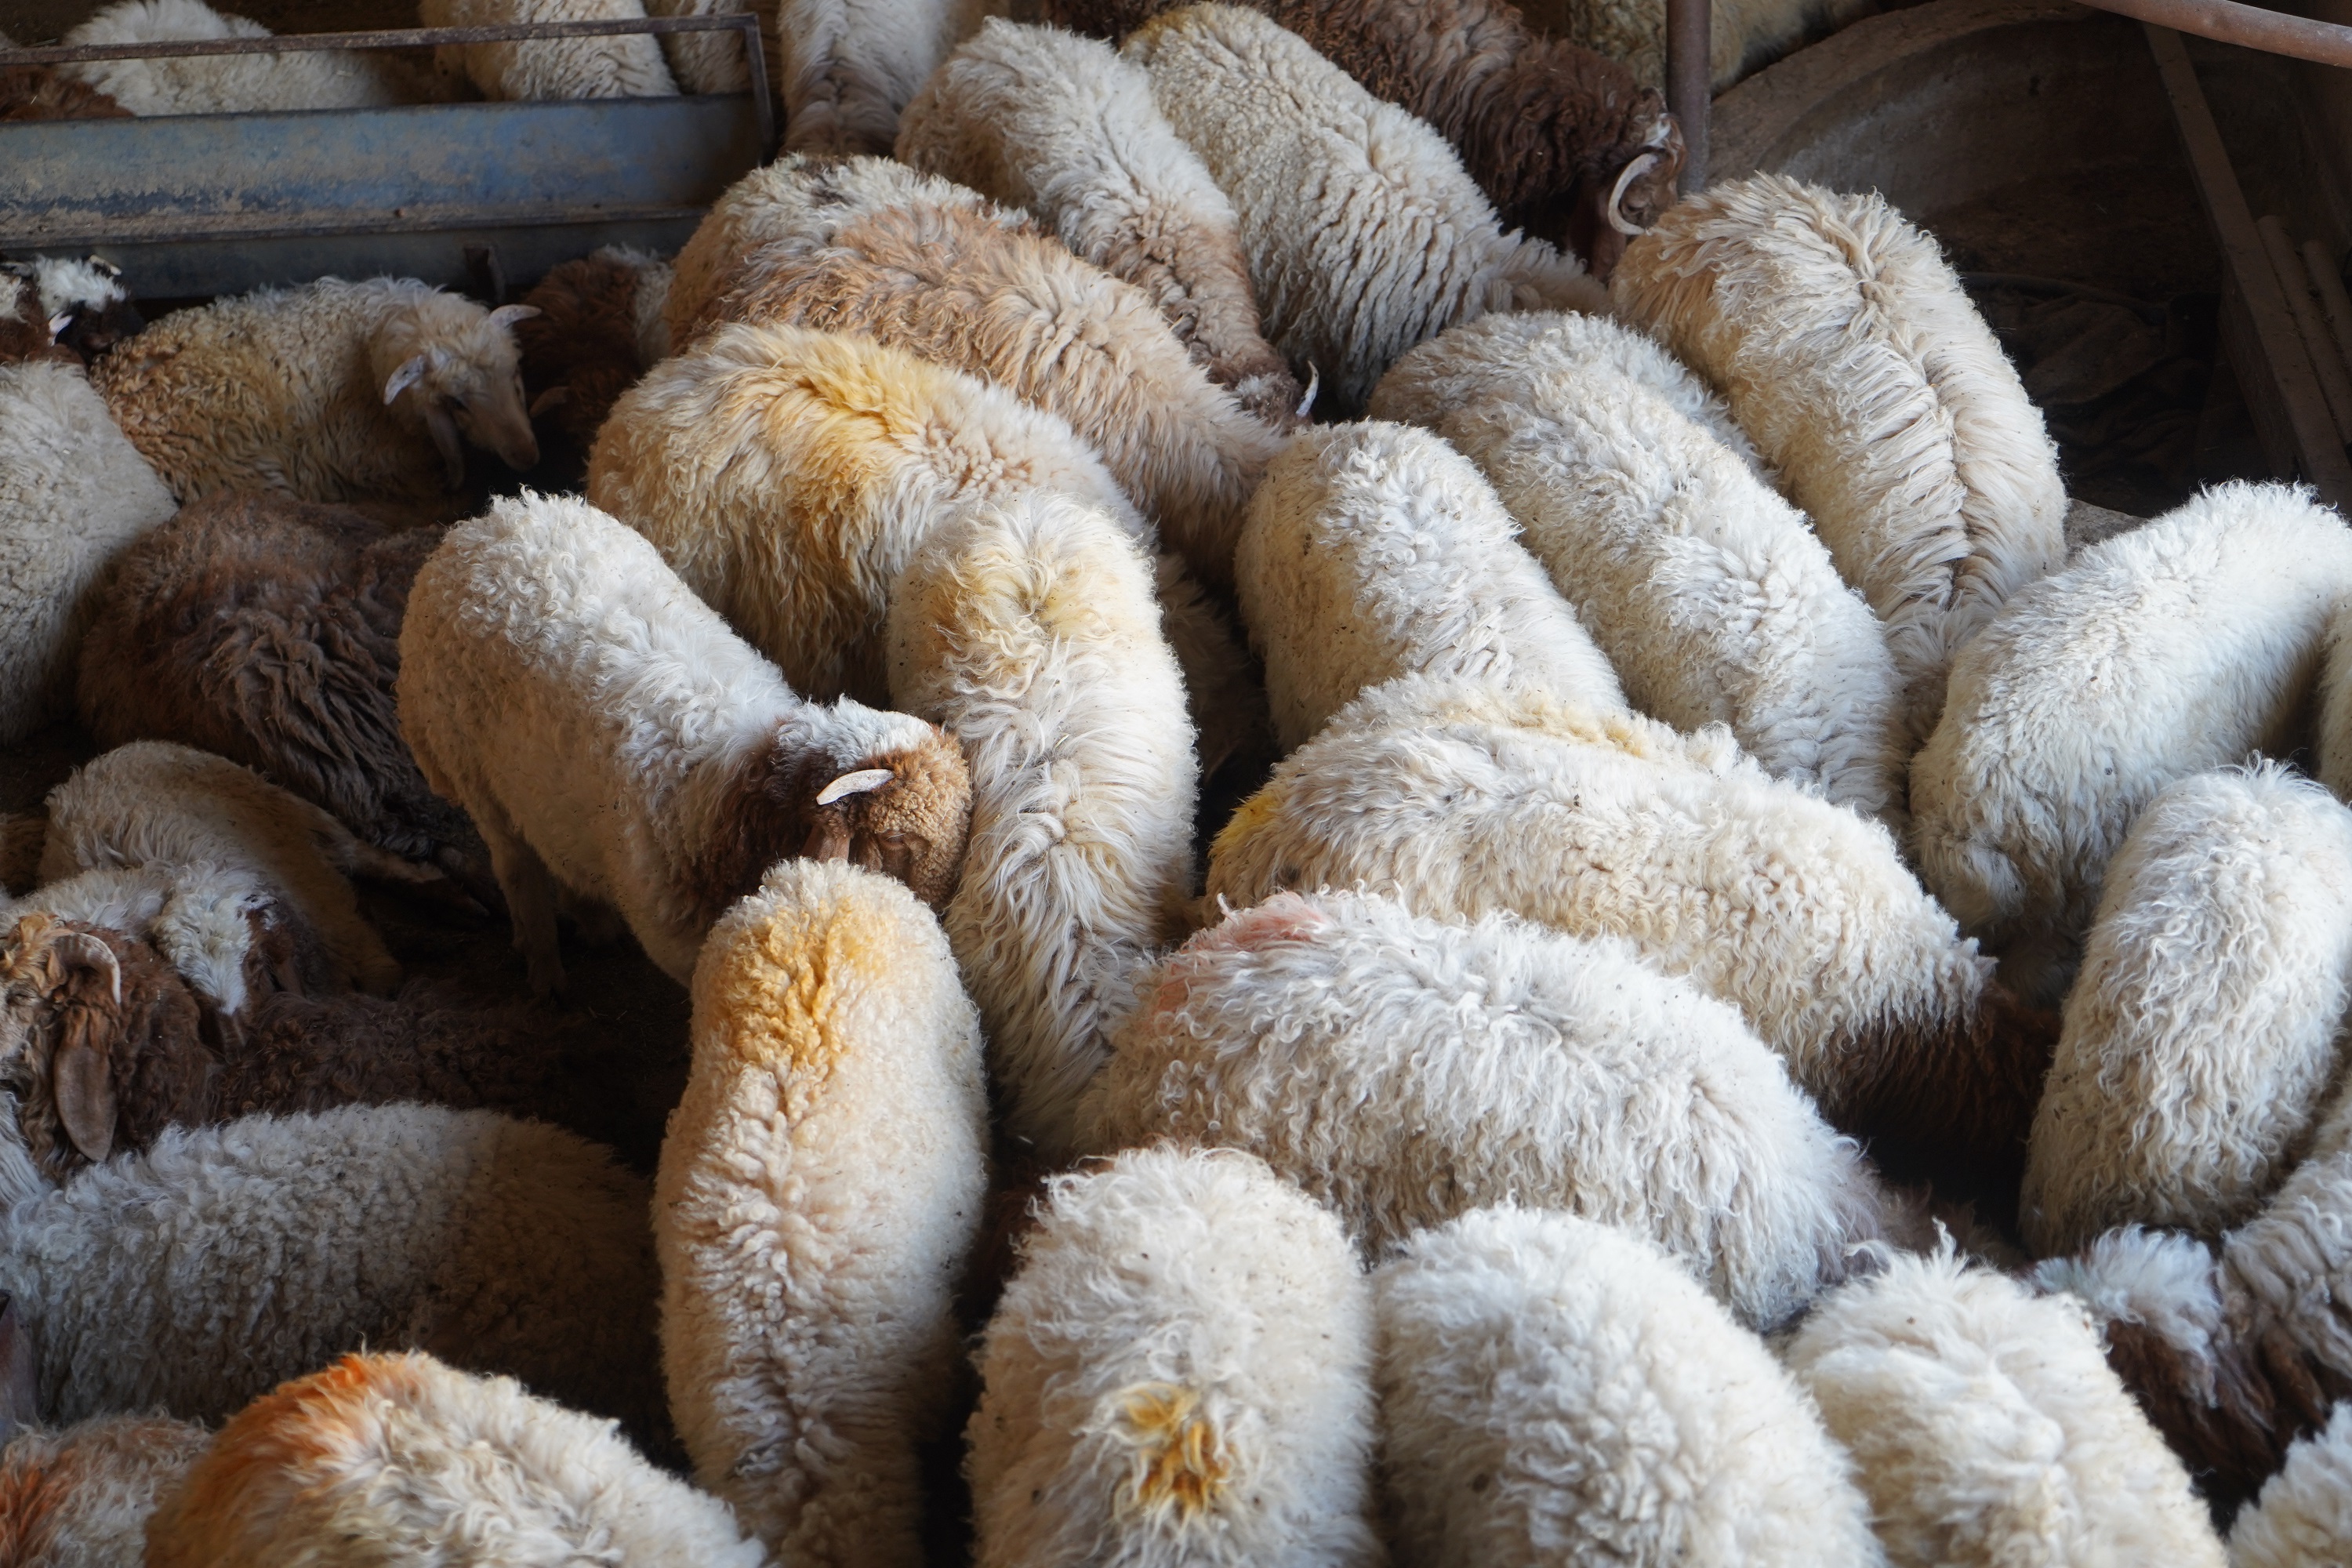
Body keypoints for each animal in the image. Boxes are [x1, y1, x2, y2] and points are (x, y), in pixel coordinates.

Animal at [399, 490, 972, 994]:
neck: (743, 797)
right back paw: (544, 969)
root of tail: (487, 521)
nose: (937, 930)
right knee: (517, 868)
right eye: (895, 841)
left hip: (542, 784)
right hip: (473, 774)